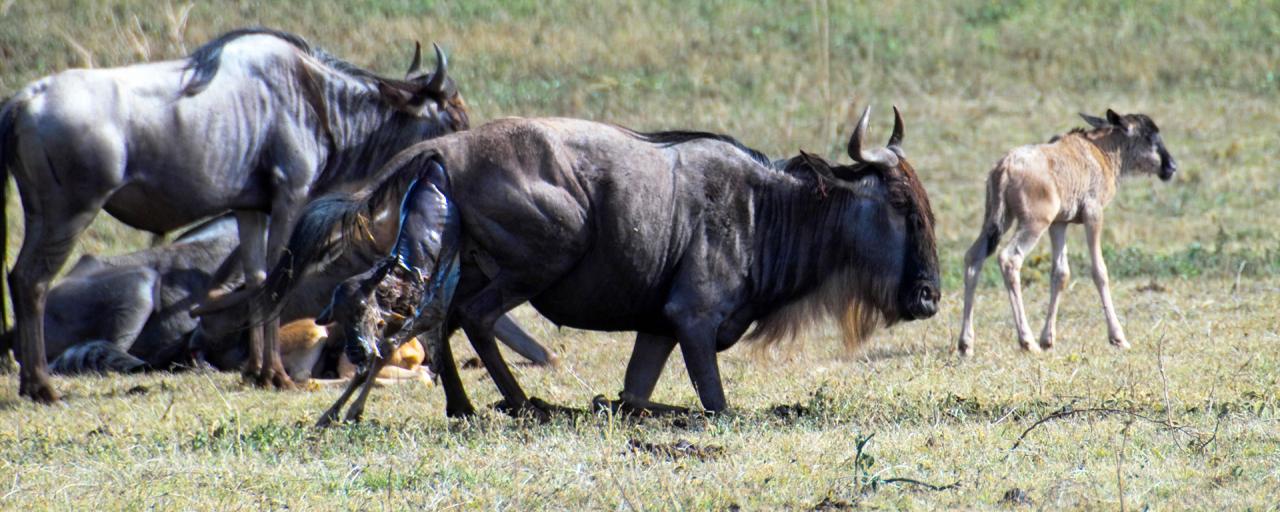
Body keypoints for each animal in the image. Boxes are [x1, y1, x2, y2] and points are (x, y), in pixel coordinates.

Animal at [962, 109, 1177, 353]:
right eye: (1150, 137)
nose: (1171, 167)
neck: (1101, 150)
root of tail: (1005, 166)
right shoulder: (1093, 214)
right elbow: (1099, 271)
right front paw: (1118, 337)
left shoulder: (1059, 223)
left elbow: (1061, 273)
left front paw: (1048, 339)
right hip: (1033, 223)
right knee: (1009, 258)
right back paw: (1027, 341)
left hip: (997, 221)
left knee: (973, 257)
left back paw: (966, 343)